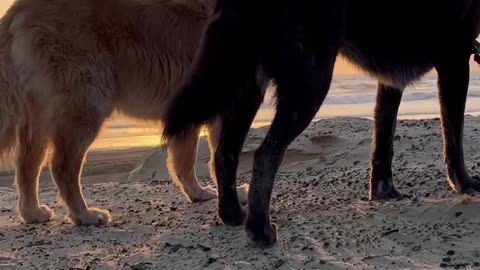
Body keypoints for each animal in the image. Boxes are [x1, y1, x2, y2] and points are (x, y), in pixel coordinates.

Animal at [163, 0, 480, 247]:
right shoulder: (455, 58)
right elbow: (454, 138)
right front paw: (465, 185)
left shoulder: (391, 82)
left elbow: (383, 141)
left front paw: (384, 192)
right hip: (311, 79)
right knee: (266, 154)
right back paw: (260, 231)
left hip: (248, 85)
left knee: (225, 153)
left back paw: (232, 216)